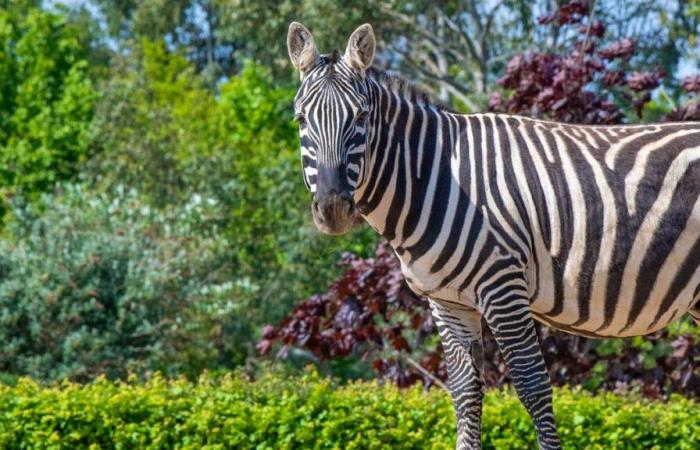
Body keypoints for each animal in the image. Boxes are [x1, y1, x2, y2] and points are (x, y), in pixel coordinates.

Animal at [284, 22, 700, 448]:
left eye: (362, 117)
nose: (333, 209)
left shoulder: (503, 286)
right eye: (301, 120)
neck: (436, 177)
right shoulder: (447, 301)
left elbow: (533, 387)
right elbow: (466, 393)